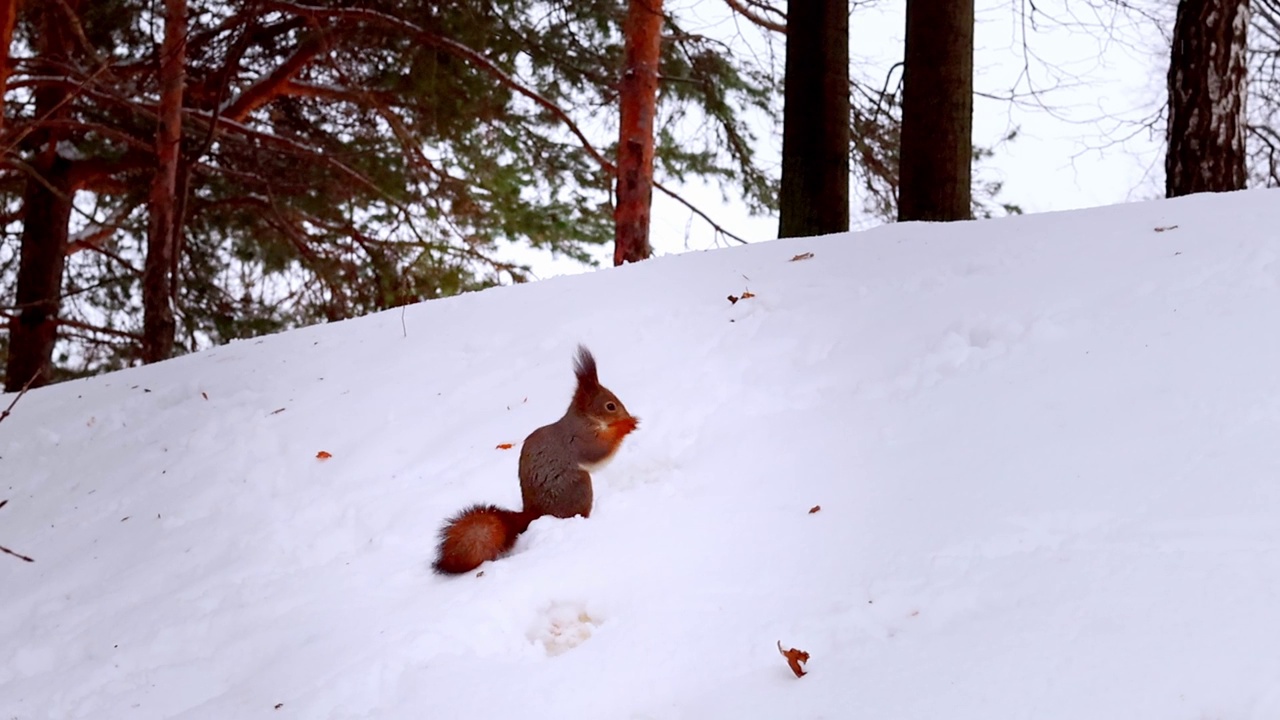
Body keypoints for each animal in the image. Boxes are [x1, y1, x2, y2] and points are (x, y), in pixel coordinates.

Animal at [432, 345, 637, 573]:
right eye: (610, 406)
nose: (626, 414)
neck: (585, 420)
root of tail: (533, 513)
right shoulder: (579, 441)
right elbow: (598, 452)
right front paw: (626, 425)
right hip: (579, 487)